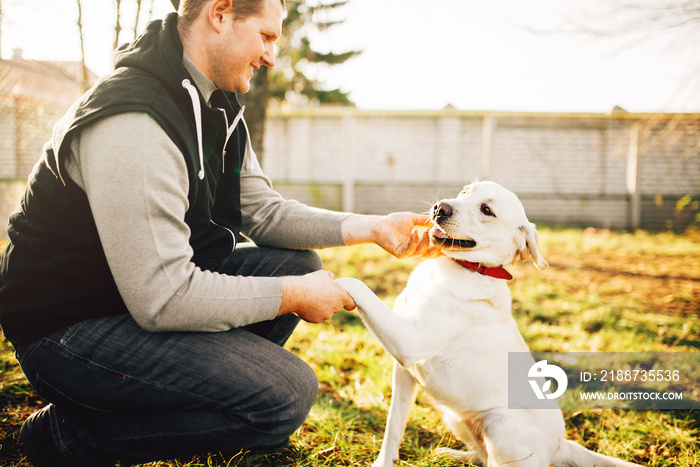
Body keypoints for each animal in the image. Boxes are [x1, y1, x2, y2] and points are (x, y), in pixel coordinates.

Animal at [338, 182, 640, 467]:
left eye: (487, 210)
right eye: (464, 191)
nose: (440, 207)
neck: (461, 270)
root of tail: (561, 446)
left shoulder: (408, 342)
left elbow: (355, 283)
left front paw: (330, 282)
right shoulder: (403, 371)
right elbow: (394, 425)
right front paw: (384, 461)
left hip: (499, 424)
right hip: (456, 418)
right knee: (480, 457)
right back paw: (450, 454)